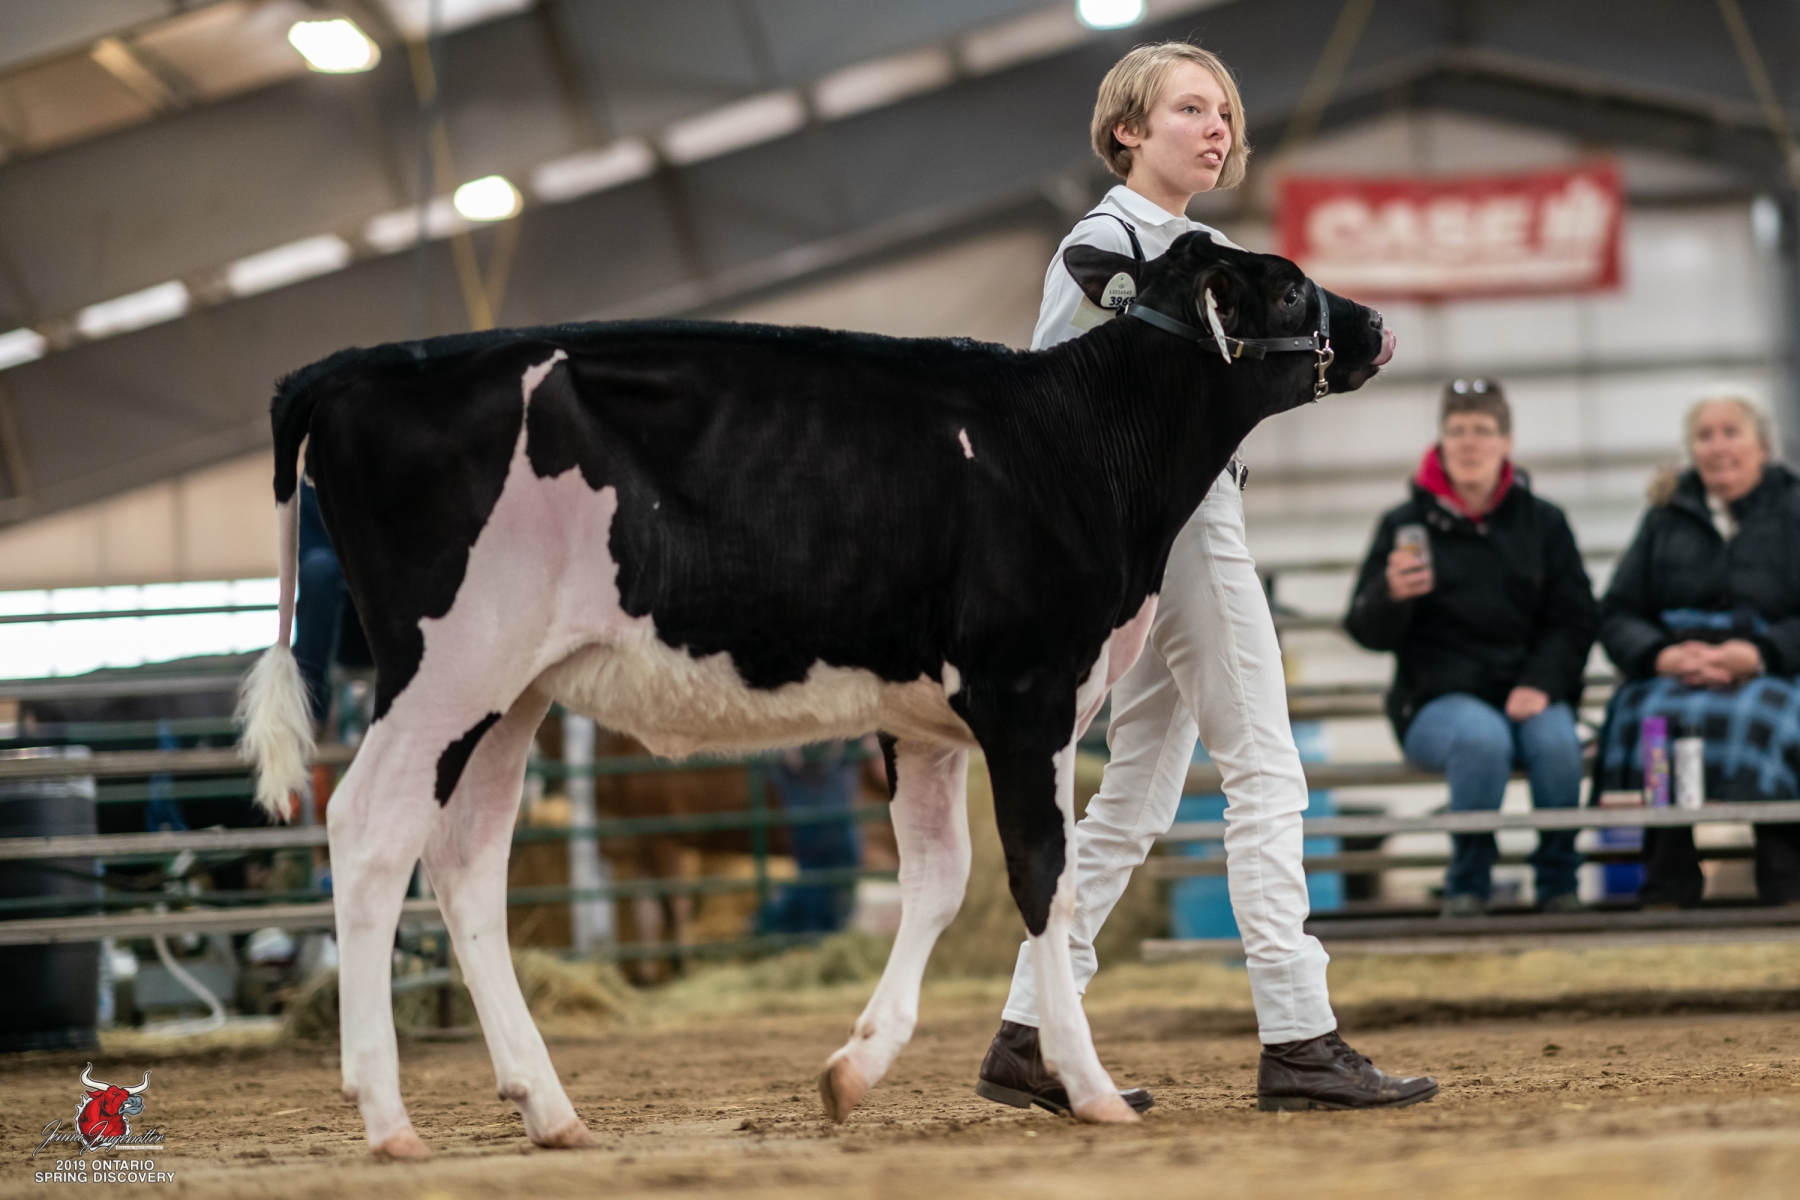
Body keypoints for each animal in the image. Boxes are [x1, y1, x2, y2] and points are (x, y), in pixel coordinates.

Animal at [239, 231, 1393, 1158]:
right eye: (1289, 286)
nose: (1378, 323)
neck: (1074, 448)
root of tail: (353, 367)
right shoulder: (1028, 691)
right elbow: (1042, 879)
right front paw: (1091, 1087)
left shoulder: (924, 719)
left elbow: (940, 878)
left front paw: (855, 1069)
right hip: (445, 666)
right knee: (370, 829)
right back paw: (388, 1116)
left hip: (508, 693)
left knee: (468, 861)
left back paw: (549, 1109)